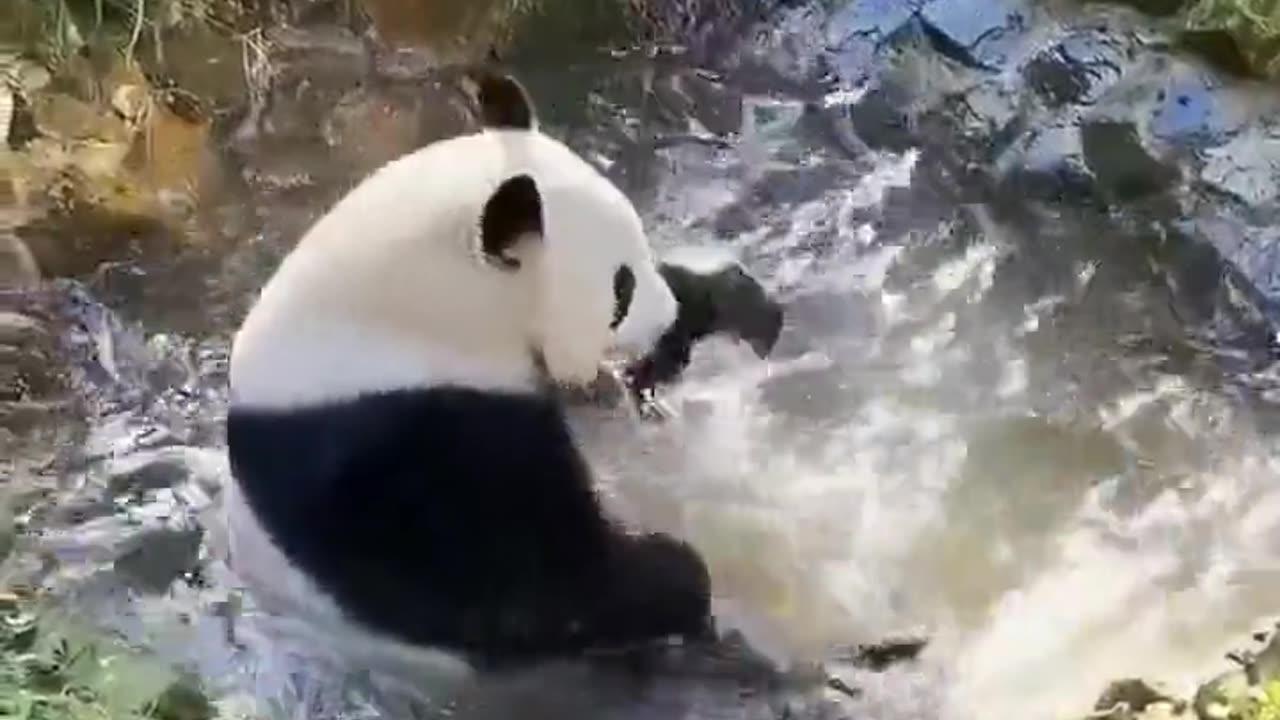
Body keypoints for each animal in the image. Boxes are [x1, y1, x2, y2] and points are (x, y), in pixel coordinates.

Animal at [222, 68, 772, 674]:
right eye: (620, 289)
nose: (663, 322)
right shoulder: (395, 444)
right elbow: (520, 585)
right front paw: (674, 579)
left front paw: (715, 307)